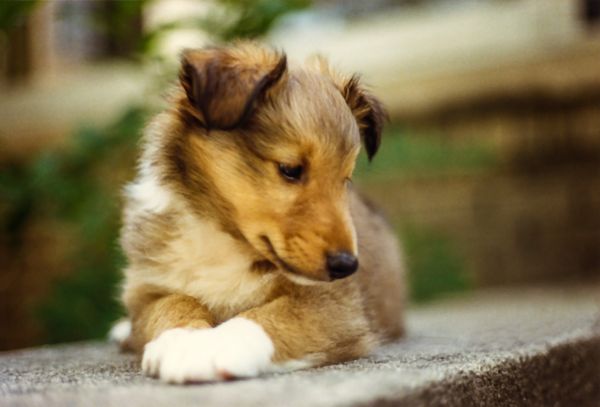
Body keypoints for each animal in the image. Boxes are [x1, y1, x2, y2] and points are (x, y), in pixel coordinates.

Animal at [115, 41, 406, 382]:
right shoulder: (148, 291)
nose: (346, 266)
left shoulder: (338, 306)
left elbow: (271, 316)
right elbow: (173, 302)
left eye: (345, 179)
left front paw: (209, 349)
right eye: (290, 169)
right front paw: (184, 340)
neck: (223, 239)